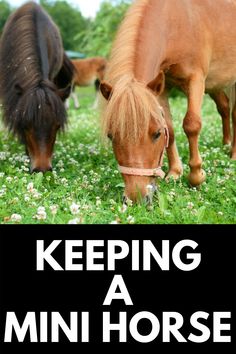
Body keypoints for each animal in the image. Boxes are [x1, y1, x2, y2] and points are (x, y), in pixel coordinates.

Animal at [100, 0, 236, 203]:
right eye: (111, 136)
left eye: (156, 134)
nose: (137, 198)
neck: (175, 22)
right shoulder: (163, 87)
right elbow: (170, 130)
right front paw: (175, 172)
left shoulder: (196, 80)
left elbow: (191, 125)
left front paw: (196, 176)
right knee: (225, 108)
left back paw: (233, 153)